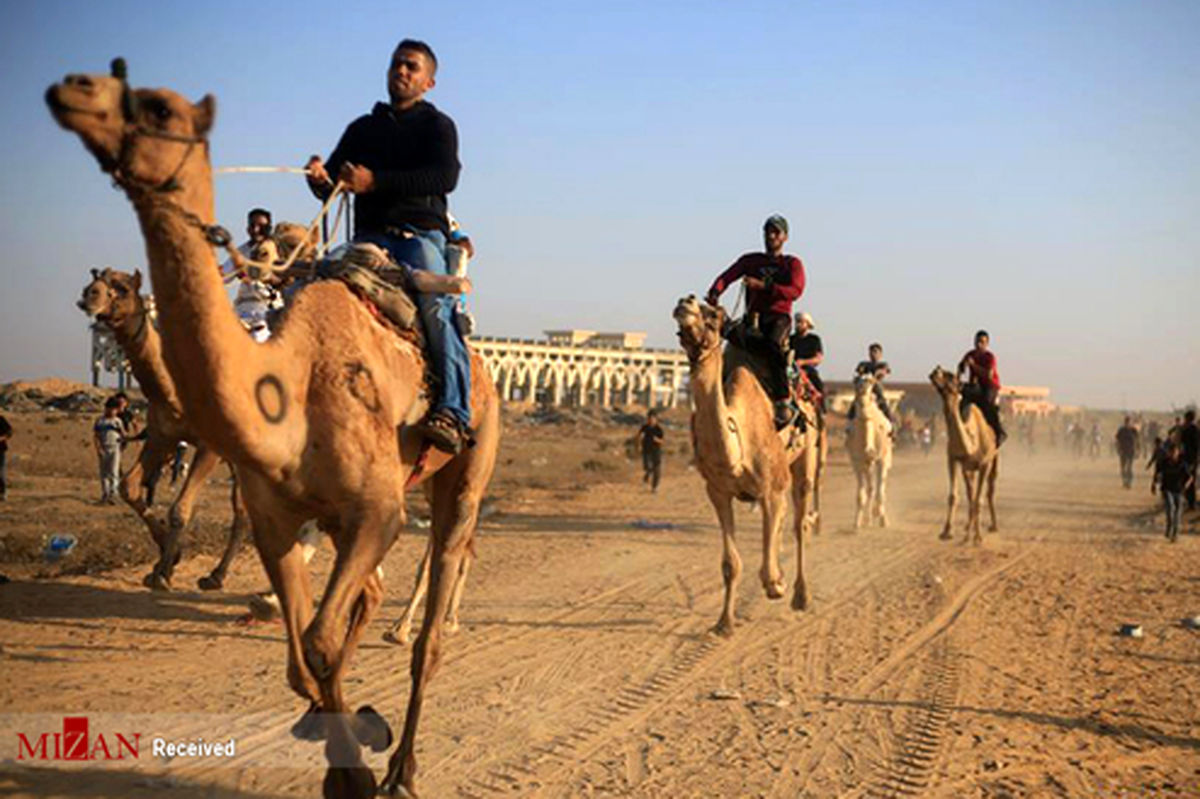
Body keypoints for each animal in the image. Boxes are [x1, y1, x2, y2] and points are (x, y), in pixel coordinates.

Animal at [75, 266, 248, 585]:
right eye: (95, 277)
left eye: (123, 287)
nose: (88, 295)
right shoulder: (161, 437)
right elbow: (129, 488)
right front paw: (167, 560)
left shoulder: (209, 446)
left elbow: (179, 509)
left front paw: (163, 574)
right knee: (242, 508)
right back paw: (215, 576)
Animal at [672, 293, 820, 633]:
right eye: (680, 325)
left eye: (713, 315)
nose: (685, 301)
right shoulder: (718, 492)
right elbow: (731, 564)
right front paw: (724, 623)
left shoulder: (771, 488)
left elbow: (768, 562)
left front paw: (777, 584)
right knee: (784, 522)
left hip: (806, 457)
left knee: (799, 524)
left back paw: (801, 596)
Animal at [844, 371, 892, 527]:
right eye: (856, 380)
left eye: (871, 381)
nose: (862, 388)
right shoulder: (857, 461)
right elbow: (861, 494)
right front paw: (857, 523)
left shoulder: (881, 459)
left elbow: (881, 492)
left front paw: (883, 520)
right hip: (866, 464)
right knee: (870, 487)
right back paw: (868, 518)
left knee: (879, 486)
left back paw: (875, 514)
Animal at [931, 364, 998, 542]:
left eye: (952, 376)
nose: (936, 370)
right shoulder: (953, 459)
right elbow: (954, 496)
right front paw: (946, 532)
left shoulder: (984, 464)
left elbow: (979, 500)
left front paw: (978, 538)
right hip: (968, 468)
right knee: (970, 493)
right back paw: (967, 528)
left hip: (994, 460)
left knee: (990, 490)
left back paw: (992, 526)